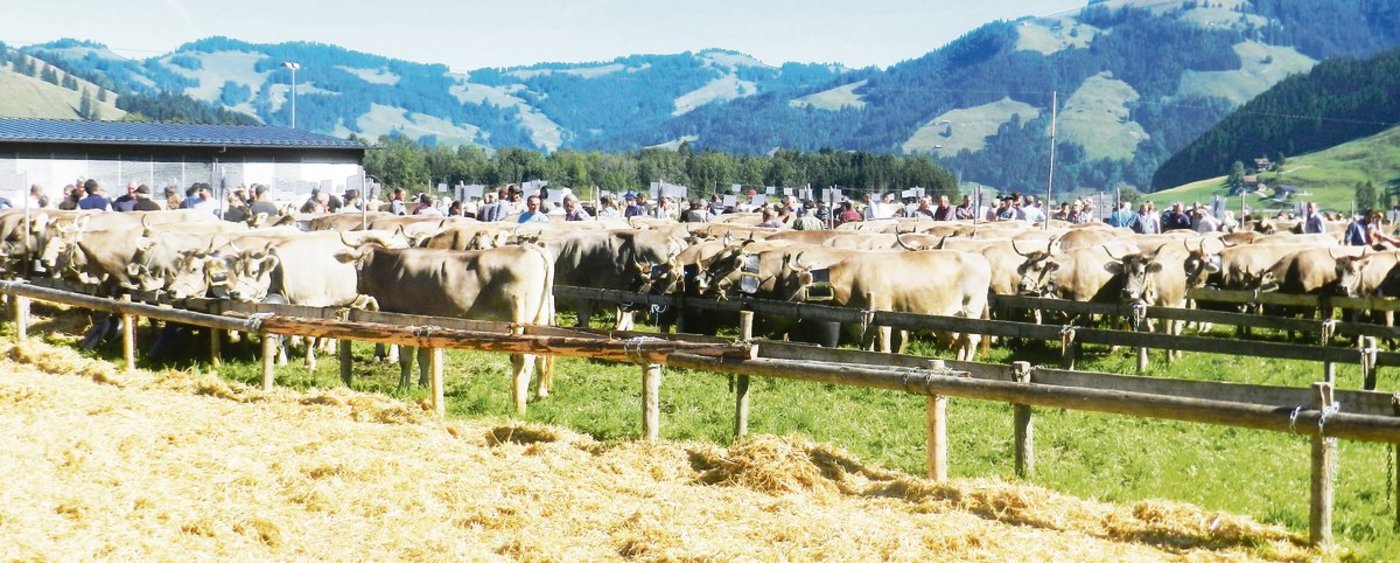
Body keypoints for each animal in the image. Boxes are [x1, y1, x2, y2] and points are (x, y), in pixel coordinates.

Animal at [334, 245, 556, 414]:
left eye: (357, 269)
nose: (356, 288)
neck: (391, 269)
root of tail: (532, 248)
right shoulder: (423, 320)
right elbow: (423, 358)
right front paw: (423, 385)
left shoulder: (403, 317)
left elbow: (406, 359)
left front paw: (402, 387)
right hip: (539, 318)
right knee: (540, 356)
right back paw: (540, 394)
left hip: (519, 315)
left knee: (523, 358)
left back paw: (518, 403)